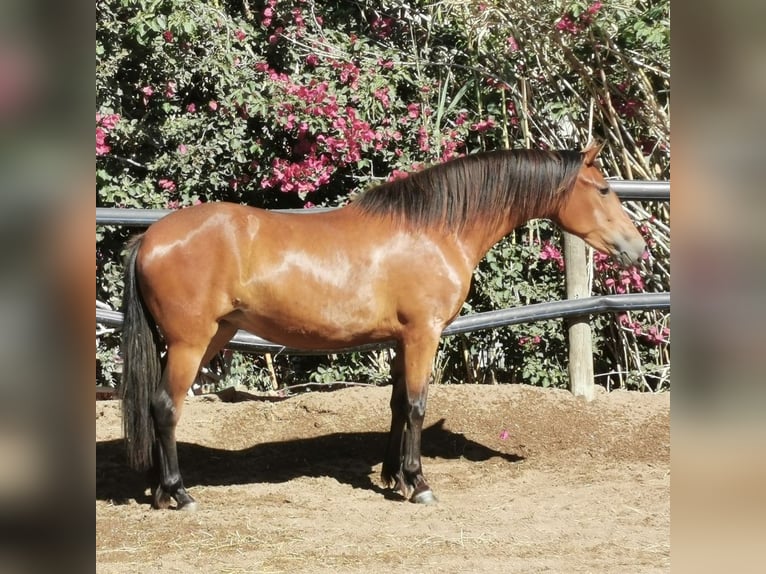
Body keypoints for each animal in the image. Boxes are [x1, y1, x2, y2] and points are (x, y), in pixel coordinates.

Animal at [120, 142, 648, 510]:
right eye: (604, 189)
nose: (638, 247)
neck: (435, 229)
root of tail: (151, 236)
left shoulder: (399, 340)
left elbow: (396, 405)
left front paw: (394, 476)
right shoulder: (423, 335)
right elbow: (415, 405)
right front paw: (418, 484)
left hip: (213, 336)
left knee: (153, 405)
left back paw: (157, 488)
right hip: (191, 342)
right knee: (165, 406)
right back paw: (178, 493)